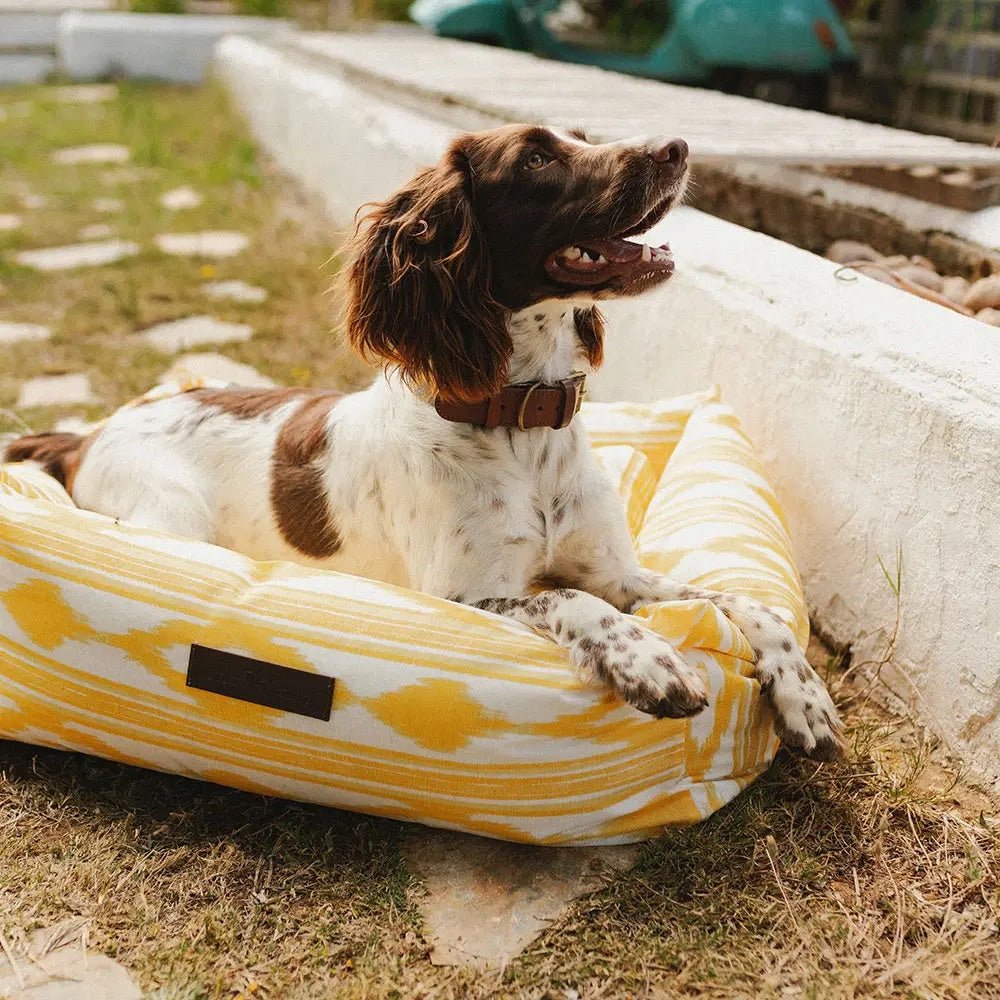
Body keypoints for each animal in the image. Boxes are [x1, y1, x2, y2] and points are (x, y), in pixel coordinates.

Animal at [3, 125, 844, 756]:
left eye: (576, 137)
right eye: (538, 158)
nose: (676, 146)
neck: (518, 422)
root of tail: (87, 433)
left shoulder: (619, 572)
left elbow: (747, 602)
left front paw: (805, 699)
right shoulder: (463, 596)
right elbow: (570, 600)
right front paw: (651, 661)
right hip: (171, 520)